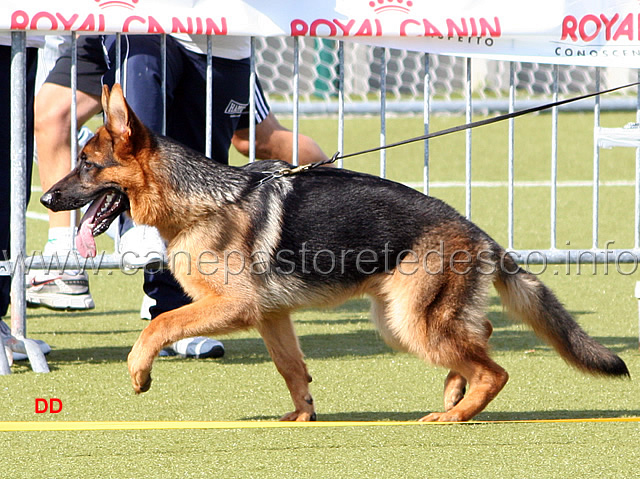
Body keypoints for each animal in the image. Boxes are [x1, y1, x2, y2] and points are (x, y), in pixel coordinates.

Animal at [41, 84, 632, 422]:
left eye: (88, 165)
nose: (44, 199)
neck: (202, 199)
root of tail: (480, 233)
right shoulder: (271, 316)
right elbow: (291, 368)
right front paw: (302, 417)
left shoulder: (233, 307)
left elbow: (158, 325)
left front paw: (139, 372)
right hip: (404, 319)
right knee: (480, 335)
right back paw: (453, 391)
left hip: (409, 322)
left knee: (495, 370)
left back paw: (456, 414)